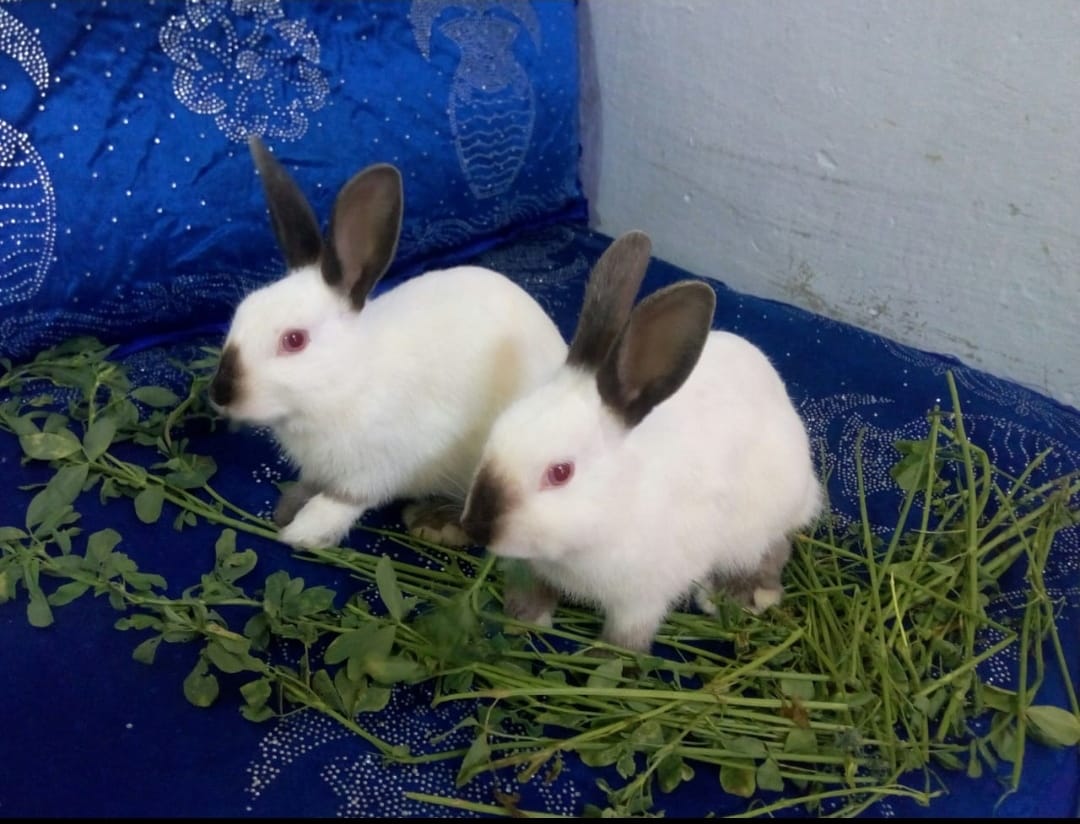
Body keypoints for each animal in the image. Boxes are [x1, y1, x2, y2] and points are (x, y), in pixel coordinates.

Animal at [208, 136, 568, 550]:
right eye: (242, 312)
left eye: (294, 340)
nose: (220, 393)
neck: (348, 381)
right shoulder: (320, 469)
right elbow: (310, 486)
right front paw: (287, 508)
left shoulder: (377, 468)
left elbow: (341, 502)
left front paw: (300, 533)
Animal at [460, 230, 824, 652]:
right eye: (497, 432)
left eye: (560, 472)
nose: (477, 529)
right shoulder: (535, 567)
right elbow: (531, 590)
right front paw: (524, 619)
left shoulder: (641, 600)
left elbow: (626, 639)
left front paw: (606, 658)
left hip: (758, 520)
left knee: (775, 549)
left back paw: (740, 595)